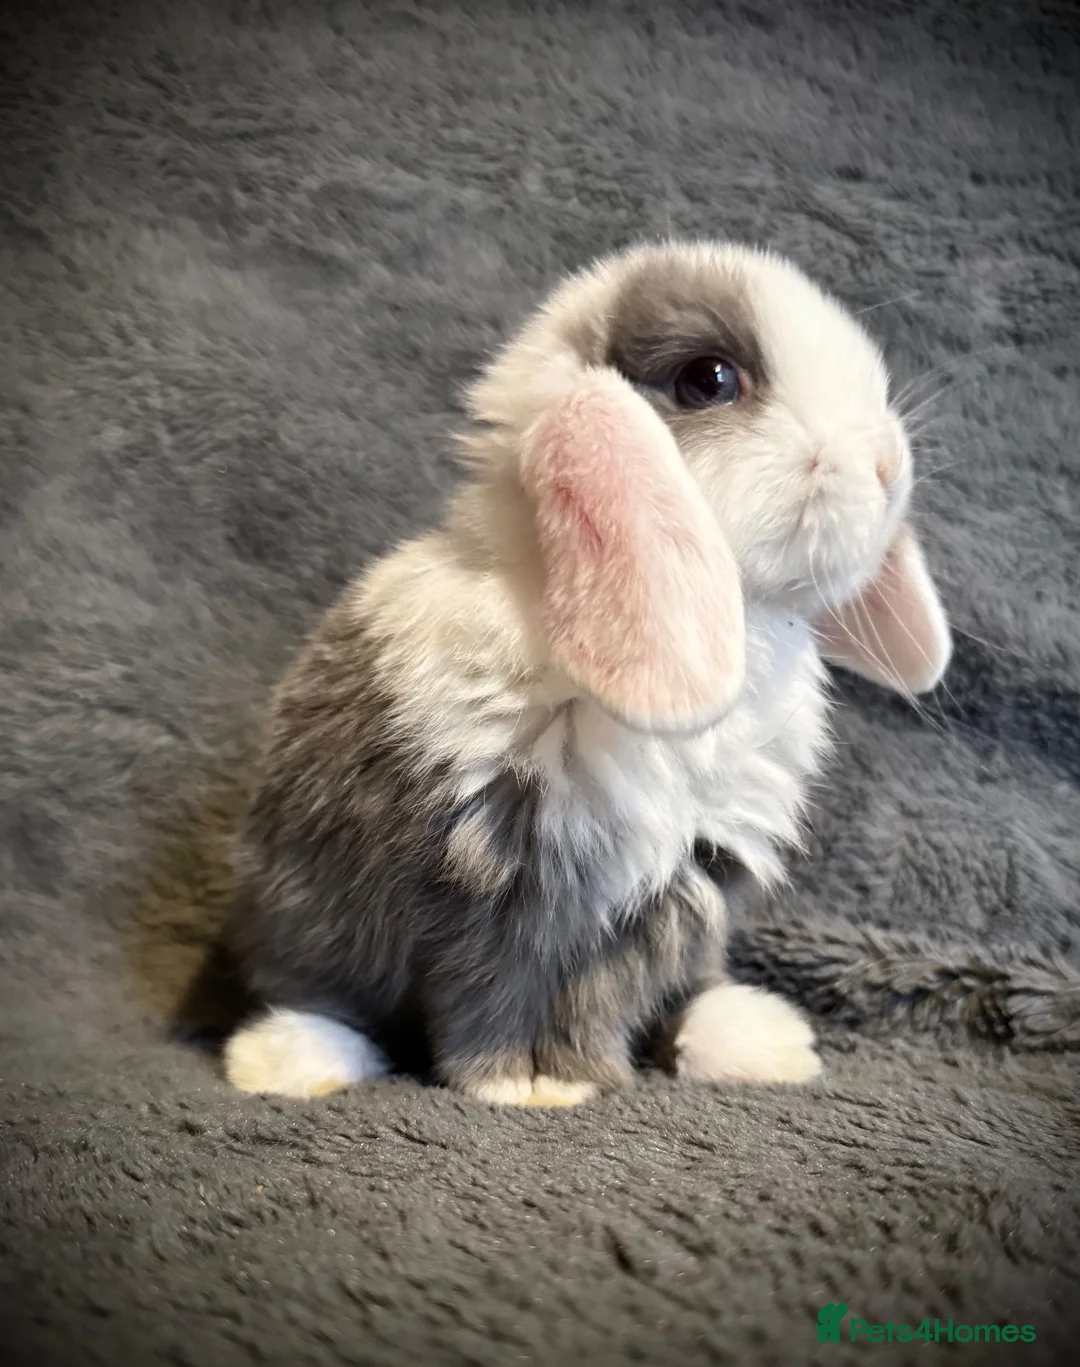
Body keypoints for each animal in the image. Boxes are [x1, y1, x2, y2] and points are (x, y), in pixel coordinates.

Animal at [221, 240, 951, 1107]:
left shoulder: (676, 886)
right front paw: (526, 1087)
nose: (887, 464)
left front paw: (580, 1076)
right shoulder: (496, 883)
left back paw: (763, 1043)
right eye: (710, 379)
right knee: (317, 993)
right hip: (300, 916)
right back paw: (289, 1061)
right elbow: (490, 995)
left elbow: (606, 997)